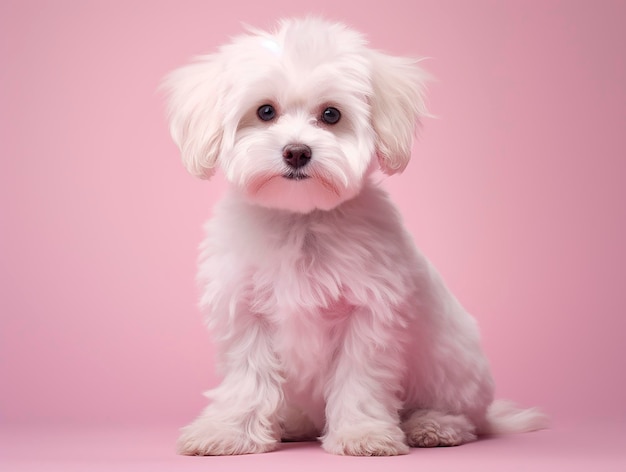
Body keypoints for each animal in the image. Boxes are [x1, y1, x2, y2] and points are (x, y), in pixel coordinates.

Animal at [162, 16, 544, 456]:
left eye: (331, 114)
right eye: (265, 111)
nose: (297, 151)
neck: (302, 218)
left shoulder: (368, 315)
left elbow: (359, 380)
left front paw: (362, 434)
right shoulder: (244, 312)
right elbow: (248, 378)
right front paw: (228, 431)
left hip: (452, 367)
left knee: (462, 416)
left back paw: (434, 425)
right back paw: (292, 423)